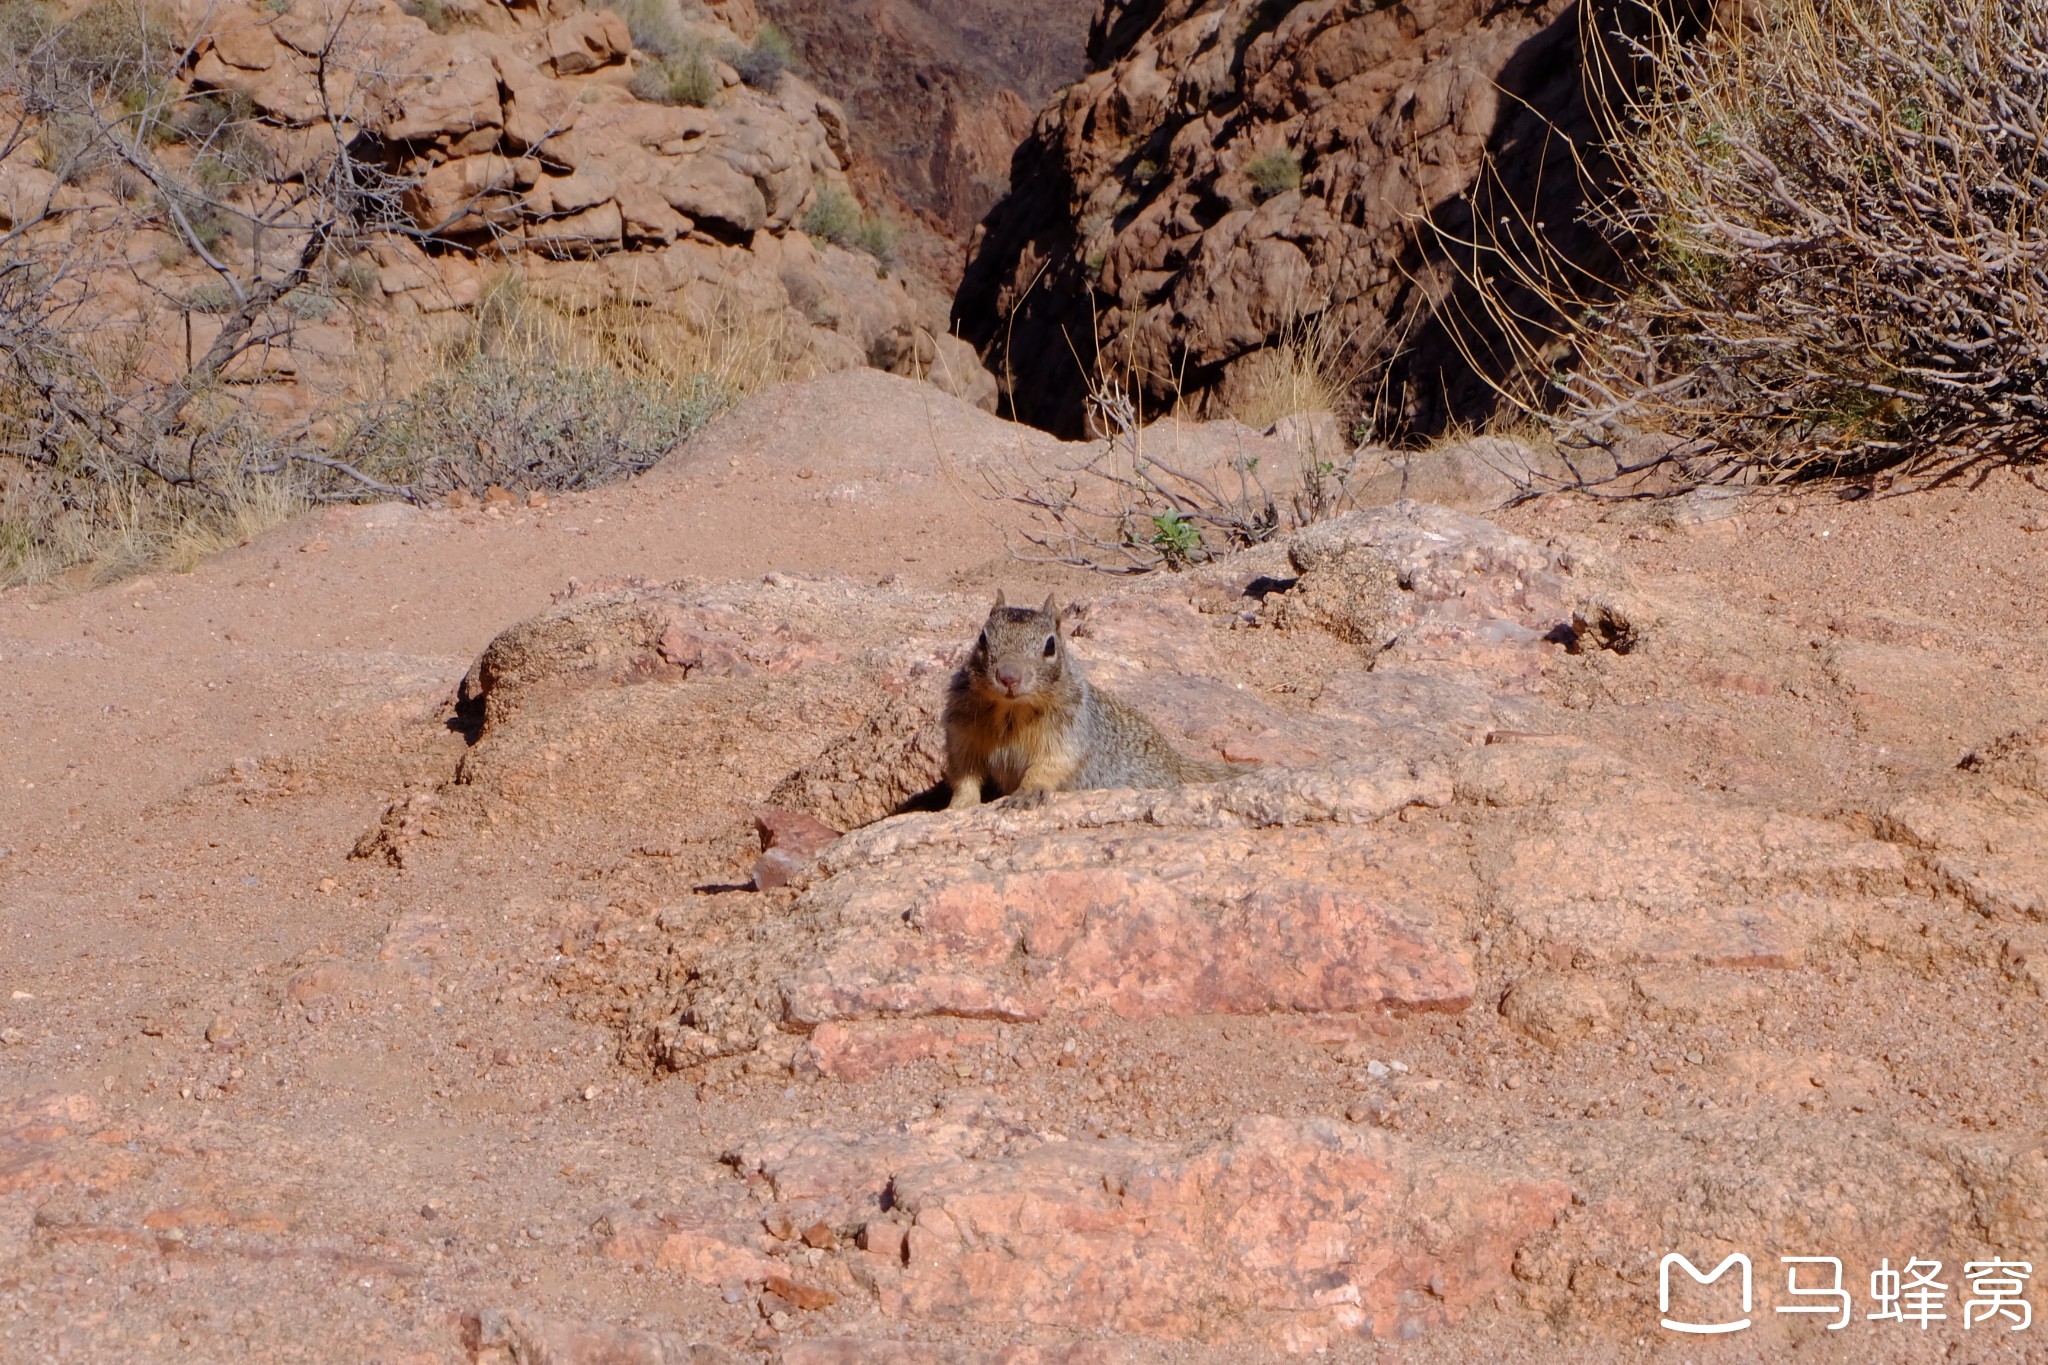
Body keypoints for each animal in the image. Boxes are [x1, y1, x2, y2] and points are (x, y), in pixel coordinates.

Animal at [937, 589, 1228, 806]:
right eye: (982, 639)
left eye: (1050, 645)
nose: (1008, 677)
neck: (1010, 710)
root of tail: (1177, 763)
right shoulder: (962, 733)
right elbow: (964, 774)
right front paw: (959, 805)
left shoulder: (1068, 731)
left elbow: (1050, 765)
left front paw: (1026, 793)